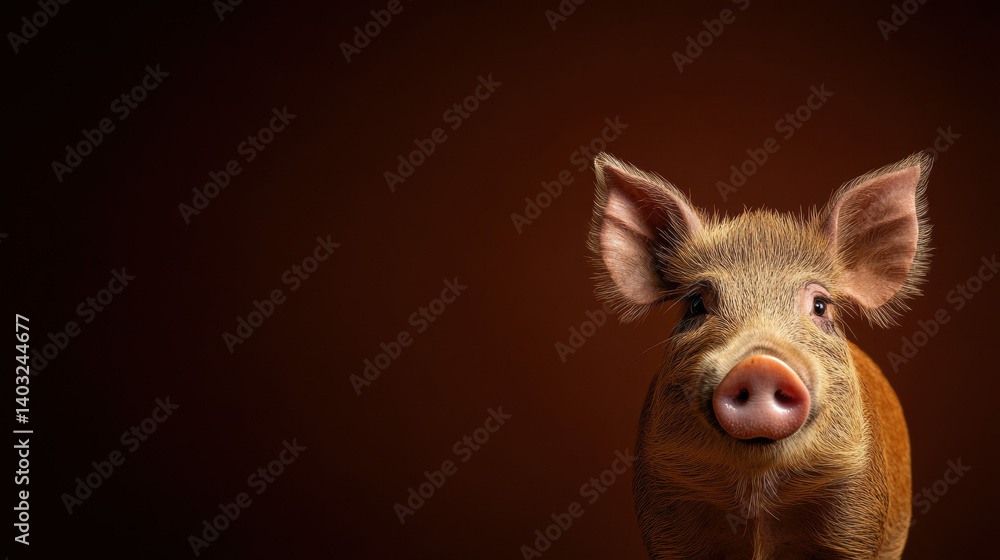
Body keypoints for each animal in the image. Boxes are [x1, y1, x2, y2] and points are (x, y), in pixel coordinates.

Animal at [588, 152, 931, 559]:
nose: (760, 363)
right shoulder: (664, 514)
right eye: (696, 304)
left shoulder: (857, 515)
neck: (757, 499)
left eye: (820, 305)